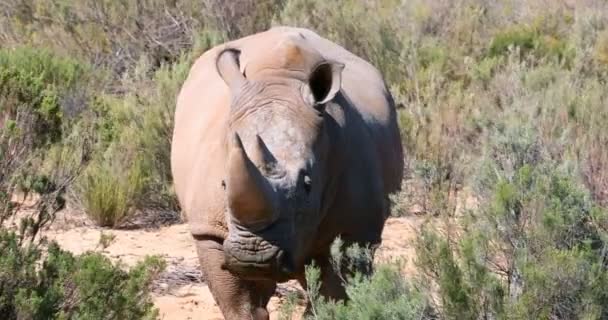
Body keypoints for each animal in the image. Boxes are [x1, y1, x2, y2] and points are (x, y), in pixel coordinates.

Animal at [170, 26, 404, 318]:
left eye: (308, 185)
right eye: (223, 185)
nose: (253, 257)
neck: (279, 82)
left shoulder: (354, 232)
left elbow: (332, 296)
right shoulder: (209, 230)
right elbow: (240, 304)